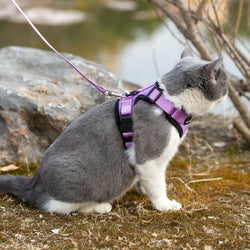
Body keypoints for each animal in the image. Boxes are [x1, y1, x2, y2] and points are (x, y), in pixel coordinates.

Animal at [0, 49, 227, 215]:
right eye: (224, 80)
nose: (228, 90)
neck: (167, 103)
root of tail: (33, 181)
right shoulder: (149, 157)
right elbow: (157, 184)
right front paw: (165, 205)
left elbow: (147, 181)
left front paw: (142, 191)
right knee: (55, 204)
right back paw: (100, 206)